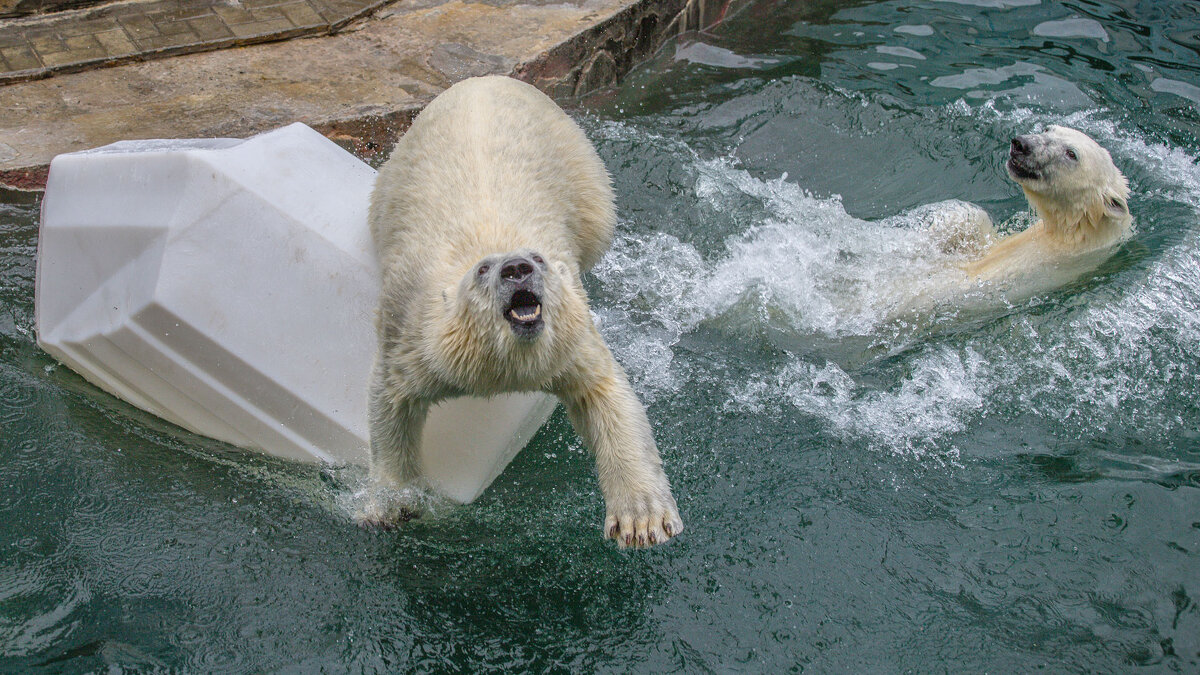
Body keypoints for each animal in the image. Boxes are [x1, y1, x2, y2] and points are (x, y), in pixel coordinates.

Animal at [360, 74, 686, 547]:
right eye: (483, 270)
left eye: (538, 258)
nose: (517, 268)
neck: (503, 360)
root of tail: (485, 79)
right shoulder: (413, 334)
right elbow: (392, 401)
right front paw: (390, 505)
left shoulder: (568, 336)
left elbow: (606, 396)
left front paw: (641, 520)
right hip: (391, 180)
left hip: (581, 171)